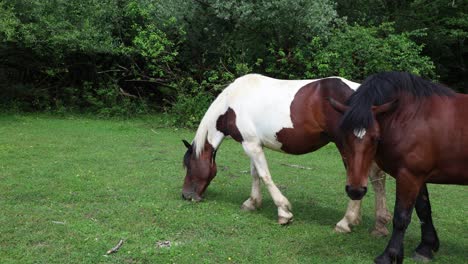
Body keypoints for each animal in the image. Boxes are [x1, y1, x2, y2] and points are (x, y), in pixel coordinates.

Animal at [182, 73, 392, 235]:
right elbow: (255, 174)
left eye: (189, 166)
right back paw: (379, 224)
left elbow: (265, 176)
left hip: (348, 148)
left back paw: (346, 222)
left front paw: (283, 212)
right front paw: (252, 203)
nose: (186, 195)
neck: (232, 104)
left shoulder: (251, 145)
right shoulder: (252, 144)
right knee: (377, 178)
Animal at [330, 71, 468, 262]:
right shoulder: (417, 177)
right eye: (343, 137)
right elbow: (424, 210)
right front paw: (426, 247)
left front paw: (390, 255)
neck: (412, 116)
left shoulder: (409, 176)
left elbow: (401, 217)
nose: (355, 191)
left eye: (375, 138)